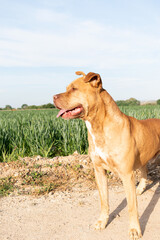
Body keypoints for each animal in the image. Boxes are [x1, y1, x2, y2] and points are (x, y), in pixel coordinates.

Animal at [53, 71, 160, 240]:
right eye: (67, 88)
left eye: (74, 89)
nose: (53, 97)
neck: (98, 126)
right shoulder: (99, 170)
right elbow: (104, 201)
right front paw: (102, 222)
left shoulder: (126, 174)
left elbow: (132, 206)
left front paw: (134, 230)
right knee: (144, 170)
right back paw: (140, 189)